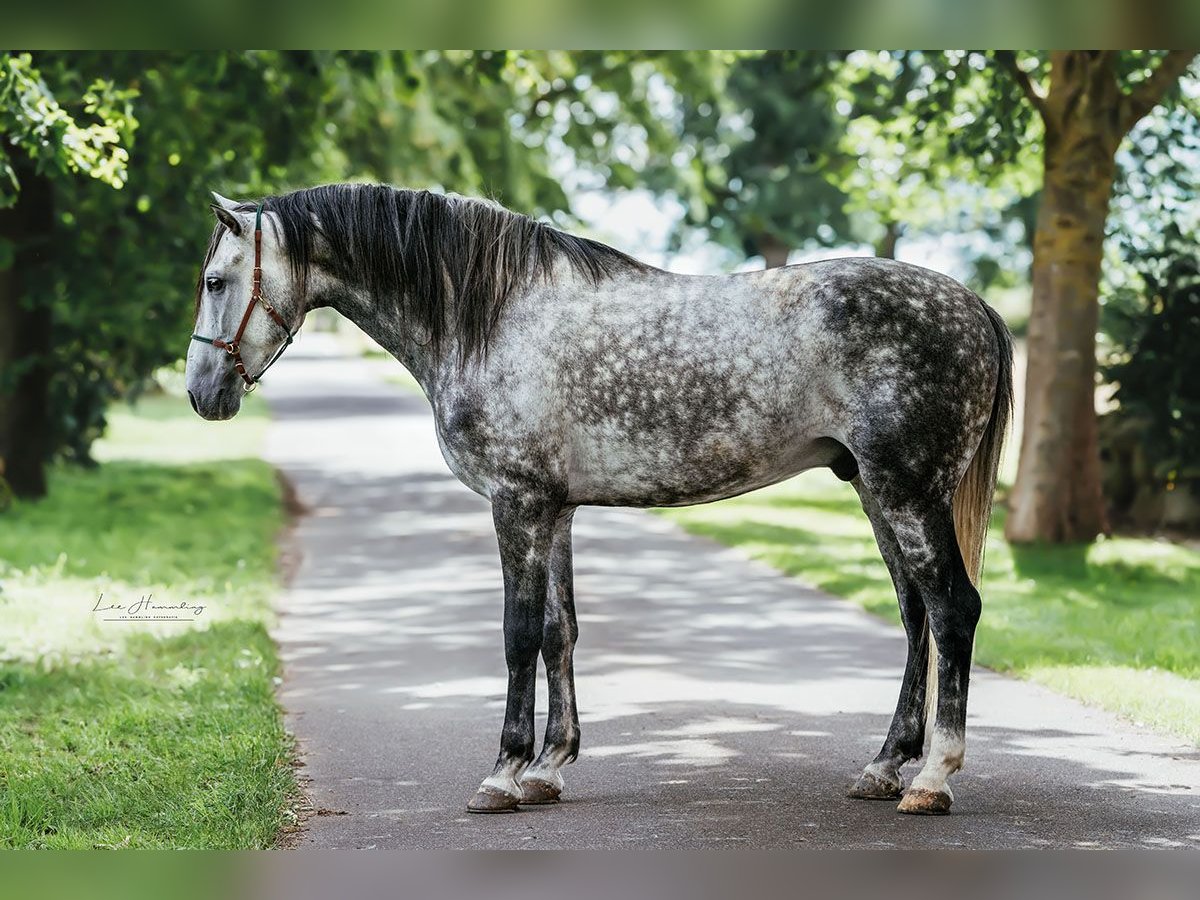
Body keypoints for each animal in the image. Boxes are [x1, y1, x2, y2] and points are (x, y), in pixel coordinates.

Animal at [187, 183, 1012, 816]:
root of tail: (972, 302)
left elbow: (518, 634)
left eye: (216, 282)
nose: (202, 394)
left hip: (908, 491)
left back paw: (932, 780)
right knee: (915, 617)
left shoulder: (516, 503)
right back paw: (884, 767)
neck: (490, 317)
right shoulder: (555, 510)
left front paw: (502, 774)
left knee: (952, 609)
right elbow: (561, 632)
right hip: (876, 490)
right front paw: (549, 768)